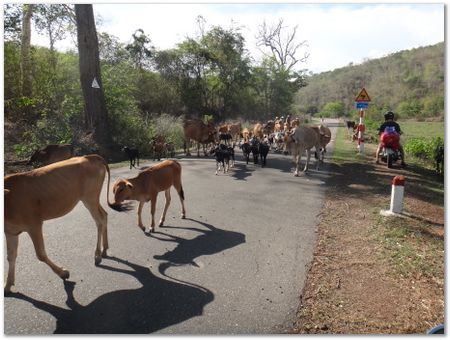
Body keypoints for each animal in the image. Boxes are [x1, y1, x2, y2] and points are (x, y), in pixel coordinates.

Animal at [3, 154, 119, 292]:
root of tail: (90, 157)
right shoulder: (10, 232)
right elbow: (11, 256)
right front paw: (7, 285)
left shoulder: (34, 225)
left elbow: (40, 254)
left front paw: (63, 273)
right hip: (92, 200)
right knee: (104, 215)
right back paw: (104, 249)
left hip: (89, 198)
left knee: (99, 221)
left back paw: (97, 255)